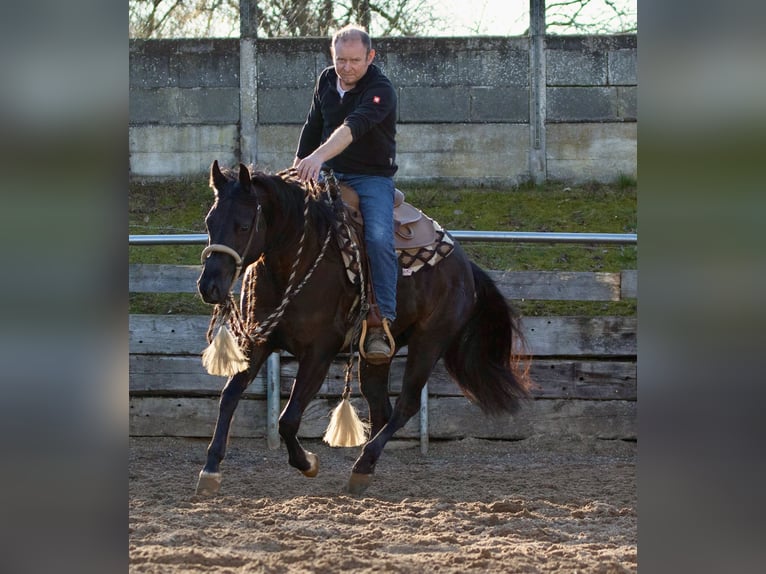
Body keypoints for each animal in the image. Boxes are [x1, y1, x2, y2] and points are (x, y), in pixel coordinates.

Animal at [195, 161, 531, 495]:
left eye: (243, 225)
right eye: (209, 222)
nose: (209, 286)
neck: (294, 262)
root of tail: (465, 266)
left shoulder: (319, 353)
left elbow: (288, 420)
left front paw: (308, 463)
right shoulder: (259, 342)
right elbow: (229, 397)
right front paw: (210, 468)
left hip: (429, 342)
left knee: (406, 405)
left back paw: (363, 465)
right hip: (377, 354)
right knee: (381, 406)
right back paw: (365, 467)